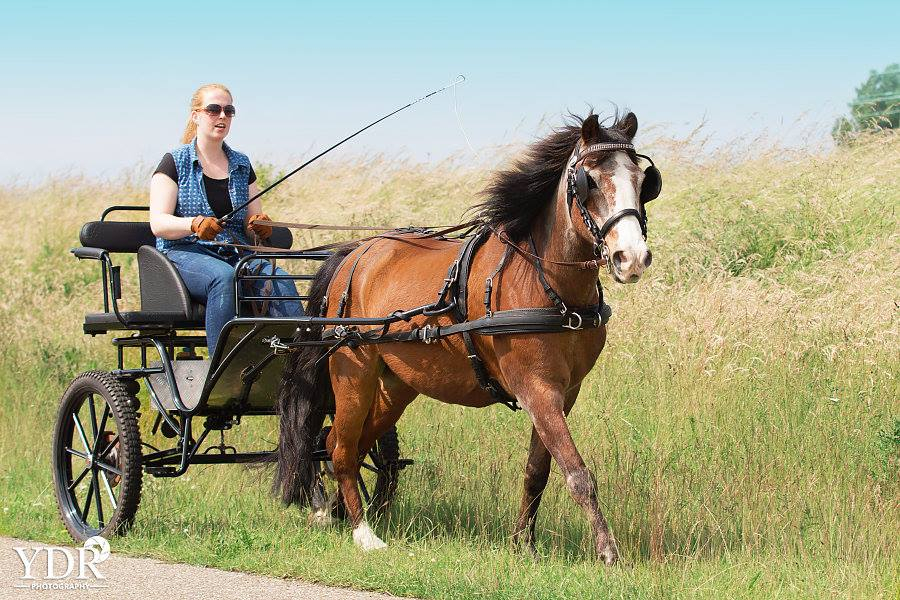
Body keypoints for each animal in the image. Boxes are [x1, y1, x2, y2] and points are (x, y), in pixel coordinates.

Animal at [274, 111, 658, 565]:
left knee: (340, 443)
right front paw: (607, 551)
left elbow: (538, 471)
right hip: (353, 376)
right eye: (590, 181)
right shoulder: (537, 389)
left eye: (643, 180)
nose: (631, 258)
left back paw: (333, 512)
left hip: (395, 386)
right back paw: (362, 531)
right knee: (341, 448)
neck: (546, 283)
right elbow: (577, 473)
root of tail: (355, 252)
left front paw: (523, 542)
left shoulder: (564, 393)